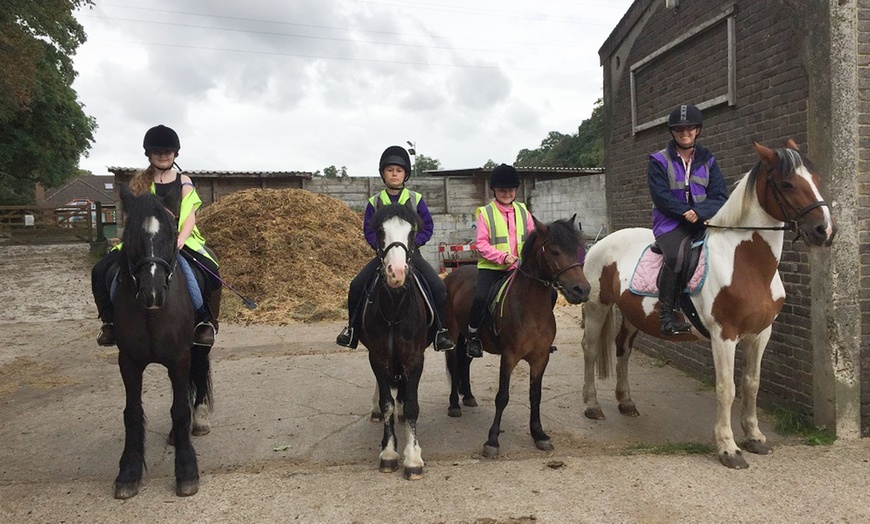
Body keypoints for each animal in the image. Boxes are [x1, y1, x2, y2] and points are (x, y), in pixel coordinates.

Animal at [111, 185, 220, 500]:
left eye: (172, 234)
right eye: (131, 235)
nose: (153, 293)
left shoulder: (180, 357)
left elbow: (180, 410)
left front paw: (186, 471)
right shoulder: (128, 362)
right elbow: (132, 413)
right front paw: (128, 473)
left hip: (199, 346)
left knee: (197, 378)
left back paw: (199, 420)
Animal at [360, 203, 430, 482]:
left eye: (412, 233)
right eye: (380, 231)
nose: (396, 273)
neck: (394, 307)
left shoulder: (415, 358)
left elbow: (411, 406)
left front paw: (413, 458)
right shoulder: (378, 356)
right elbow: (386, 403)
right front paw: (389, 453)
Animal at [442, 215, 592, 456]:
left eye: (578, 249)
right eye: (554, 251)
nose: (582, 290)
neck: (530, 308)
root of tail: (452, 275)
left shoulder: (541, 358)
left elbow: (536, 395)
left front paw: (539, 434)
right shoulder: (509, 357)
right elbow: (502, 397)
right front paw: (492, 440)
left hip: (468, 339)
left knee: (464, 363)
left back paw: (469, 397)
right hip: (454, 336)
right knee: (454, 366)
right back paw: (454, 404)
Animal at [584, 141, 836, 468]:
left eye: (815, 179)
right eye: (786, 184)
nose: (824, 231)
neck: (746, 263)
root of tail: (600, 242)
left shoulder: (760, 334)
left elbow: (751, 383)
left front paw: (755, 438)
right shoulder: (723, 336)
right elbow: (727, 388)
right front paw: (729, 449)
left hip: (631, 314)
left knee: (622, 348)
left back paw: (626, 402)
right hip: (597, 307)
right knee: (590, 351)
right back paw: (592, 405)